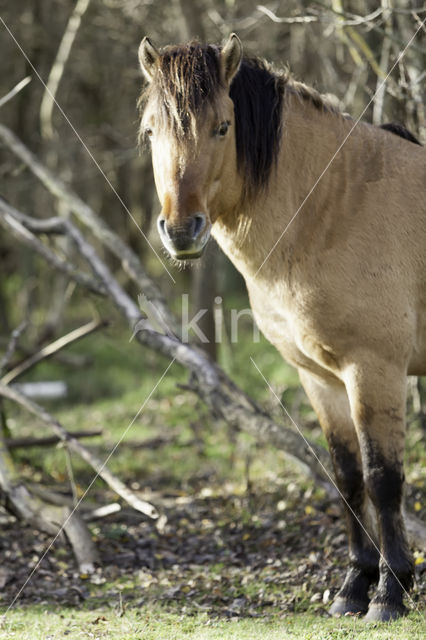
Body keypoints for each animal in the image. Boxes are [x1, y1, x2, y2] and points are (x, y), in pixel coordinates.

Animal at [138, 33, 424, 620]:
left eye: (223, 127)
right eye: (151, 131)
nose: (181, 230)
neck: (337, 207)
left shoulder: (375, 370)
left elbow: (384, 480)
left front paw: (390, 594)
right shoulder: (320, 377)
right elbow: (347, 478)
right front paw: (353, 588)